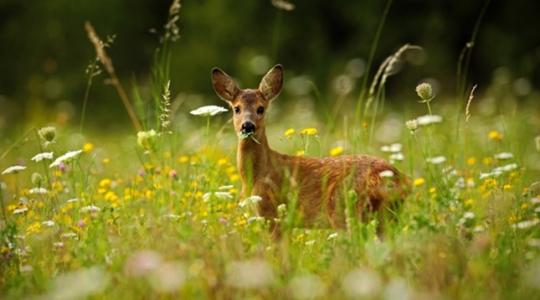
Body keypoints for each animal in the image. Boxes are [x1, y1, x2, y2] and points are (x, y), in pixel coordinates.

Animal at [211, 64, 410, 236]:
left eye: (261, 109)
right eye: (236, 109)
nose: (247, 126)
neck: (256, 175)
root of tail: (396, 178)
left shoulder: (271, 212)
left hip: (345, 209)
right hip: (385, 216)